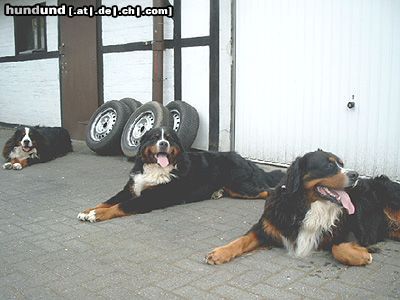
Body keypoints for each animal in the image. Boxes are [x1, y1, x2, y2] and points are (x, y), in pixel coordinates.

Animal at [78, 126, 284, 223]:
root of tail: (244, 158)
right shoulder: (130, 188)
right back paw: (216, 192)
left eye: (169, 138)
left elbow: (119, 206)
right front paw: (88, 211)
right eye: (155, 138)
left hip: (241, 186)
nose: (163, 144)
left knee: (266, 191)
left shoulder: (149, 198)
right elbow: (107, 201)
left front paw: (97, 215)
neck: (155, 168)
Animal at [206, 151, 378, 266]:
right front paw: (220, 253)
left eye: (341, 164)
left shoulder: (348, 231)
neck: (305, 206)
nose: (355, 174)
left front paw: (362, 256)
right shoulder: (265, 227)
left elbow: (338, 247)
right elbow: (241, 240)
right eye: (329, 165)